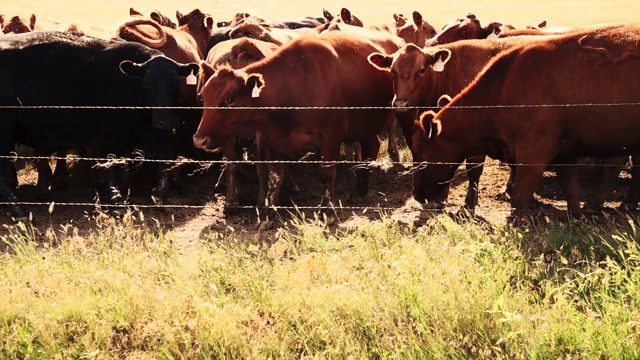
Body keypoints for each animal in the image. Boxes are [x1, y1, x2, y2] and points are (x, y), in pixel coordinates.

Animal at [0, 31, 199, 219]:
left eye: (176, 84)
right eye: (147, 84)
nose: (166, 120)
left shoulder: (155, 132)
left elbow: (163, 158)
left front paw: (159, 193)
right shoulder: (114, 135)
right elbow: (114, 168)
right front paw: (116, 202)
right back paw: (16, 208)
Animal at [192, 33, 398, 225]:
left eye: (230, 99)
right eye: (202, 97)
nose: (199, 139)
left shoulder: (331, 136)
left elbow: (326, 174)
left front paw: (327, 211)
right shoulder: (273, 139)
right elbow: (275, 176)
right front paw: (268, 214)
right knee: (372, 147)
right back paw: (359, 191)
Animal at [412, 25, 640, 217]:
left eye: (422, 156)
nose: (417, 195)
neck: (504, 88)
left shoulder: (533, 152)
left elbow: (521, 195)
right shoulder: (563, 154)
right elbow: (570, 187)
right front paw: (574, 216)